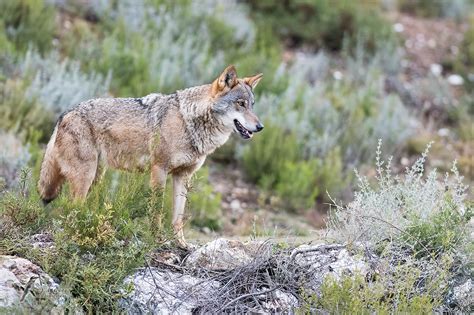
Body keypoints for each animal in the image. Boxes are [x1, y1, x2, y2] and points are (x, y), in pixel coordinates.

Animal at [38, 64, 262, 247]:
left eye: (252, 104)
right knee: (71, 207)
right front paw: (156, 239)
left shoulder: (183, 176)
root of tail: (65, 114)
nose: (260, 127)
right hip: (85, 177)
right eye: (240, 103)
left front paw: (181, 244)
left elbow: (178, 218)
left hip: (95, 177)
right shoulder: (159, 169)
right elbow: (156, 211)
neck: (188, 122)